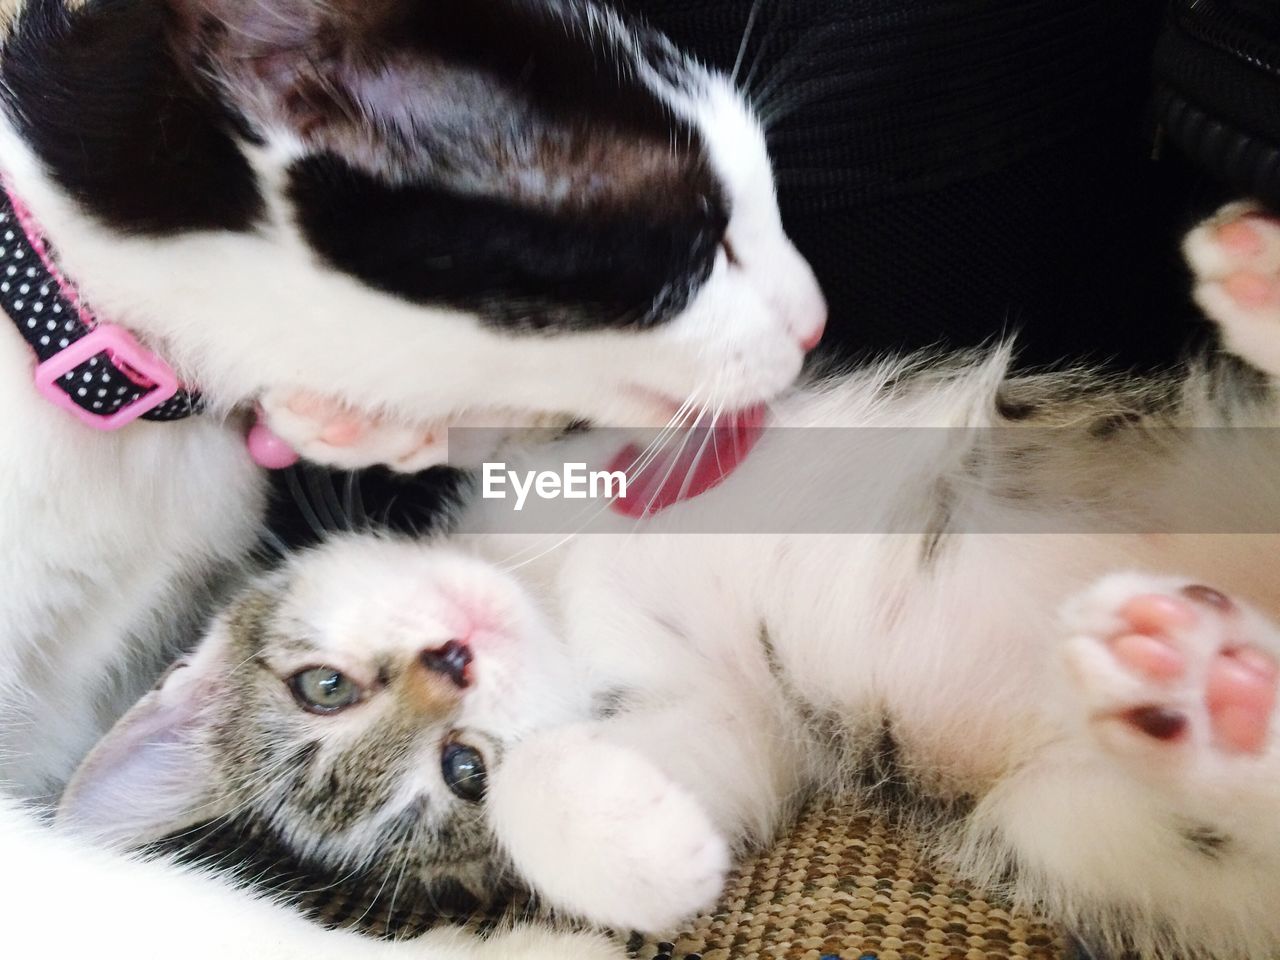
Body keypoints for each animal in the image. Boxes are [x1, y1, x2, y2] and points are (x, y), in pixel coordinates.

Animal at [62, 204, 1280, 960]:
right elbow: (683, 775)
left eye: (320, 687)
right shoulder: (741, 723)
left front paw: (347, 406)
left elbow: (511, 393)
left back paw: (1255, 282)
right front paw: (649, 852)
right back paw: (1207, 685)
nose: (453, 657)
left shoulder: (557, 449)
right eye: (462, 771)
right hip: (1078, 824)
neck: (551, 586)